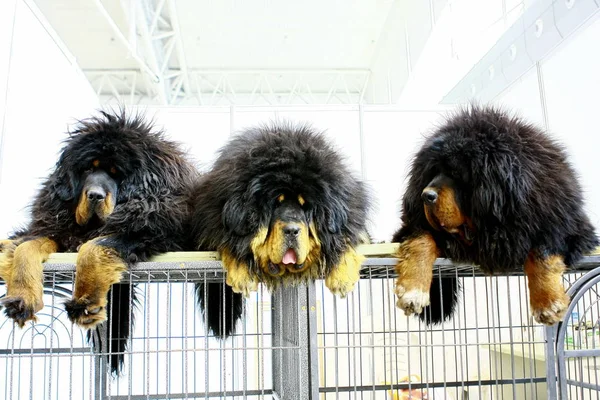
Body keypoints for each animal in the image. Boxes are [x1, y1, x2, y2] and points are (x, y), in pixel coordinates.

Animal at [0, 110, 197, 376]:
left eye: (115, 172)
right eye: (86, 170)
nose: (95, 195)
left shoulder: (146, 233)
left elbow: (92, 248)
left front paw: (86, 303)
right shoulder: (57, 230)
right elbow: (25, 247)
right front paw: (22, 298)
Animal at [192, 122, 372, 338]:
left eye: (305, 206)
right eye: (275, 204)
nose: (292, 230)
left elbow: (348, 240)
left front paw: (342, 278)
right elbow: (233, 243)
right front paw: (242, 274)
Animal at [396, 105, 596, 324]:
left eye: (456, 173)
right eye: (432, 172)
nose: (426, 195)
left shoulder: (566, 226)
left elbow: (541, 252)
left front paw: (547, 302)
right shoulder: (416, 226)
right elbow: (421, 242)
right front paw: (413, 291)